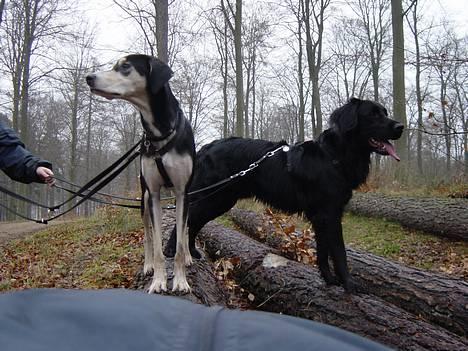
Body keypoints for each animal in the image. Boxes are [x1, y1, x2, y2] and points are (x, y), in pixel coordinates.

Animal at [87, 53, 195, 292]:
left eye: (125, 66)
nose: (89, 77)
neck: (160, 133)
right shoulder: (153, 194)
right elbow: (156, 246)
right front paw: (158, 281)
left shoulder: (183, 192)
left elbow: (180, 242)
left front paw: (181, 280)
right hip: (144, 200)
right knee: (147, 236)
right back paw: (148, 265)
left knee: (185, 230)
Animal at [166, 98, 404, 292]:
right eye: (373, 114)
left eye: (384, 112)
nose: (401, 126)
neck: (333, 157)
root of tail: (204, 148)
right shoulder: (329, 213)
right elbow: (339, 252)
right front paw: (349, 284)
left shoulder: (322, 216)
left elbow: (323, 251)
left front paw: (329, 280)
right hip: (211, 197)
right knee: (185, 219)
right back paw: (170, 250)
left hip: (221, 200)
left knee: (194, 222)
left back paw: (192, 252)